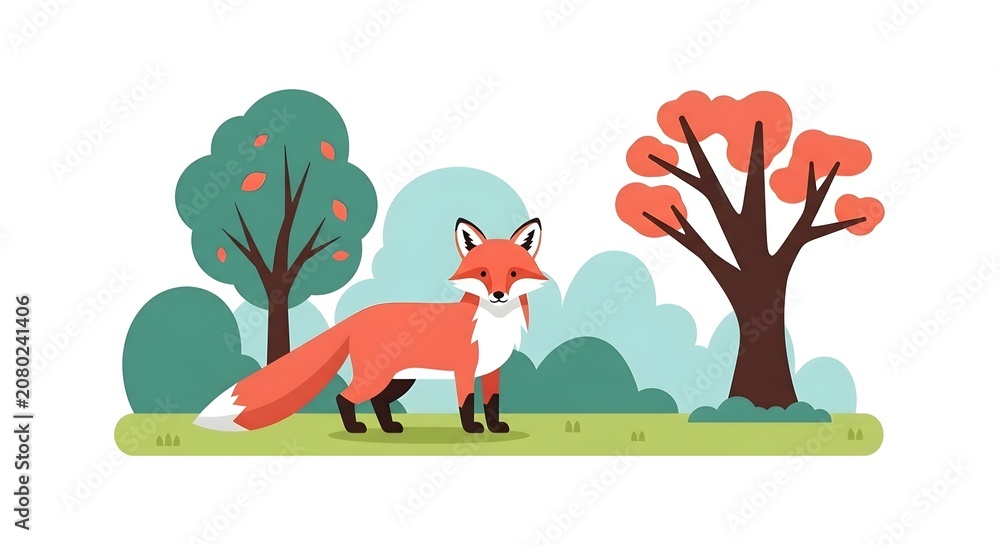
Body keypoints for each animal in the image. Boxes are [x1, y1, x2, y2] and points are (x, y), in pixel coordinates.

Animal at [194, 217, 546, 434]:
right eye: (483, 273)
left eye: (513, 273)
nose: (498, 295)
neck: (493, 326)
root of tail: (359, 316)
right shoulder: (464, 370)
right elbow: (467, 404)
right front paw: (471, 430)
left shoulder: (492, 371)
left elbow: (492, 403)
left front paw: (495, 428)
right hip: (378, 377)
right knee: (345, 397)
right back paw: (355, 429)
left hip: (399, 379)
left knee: (377, 401)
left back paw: (389, 429)